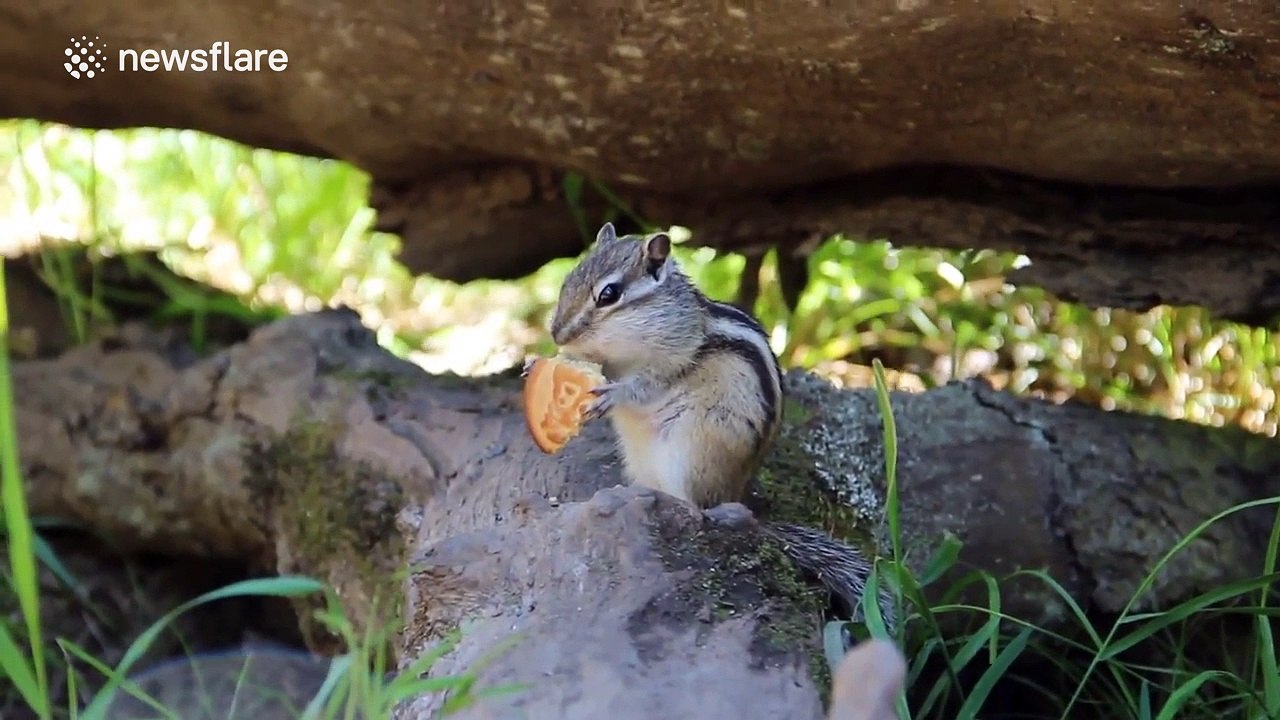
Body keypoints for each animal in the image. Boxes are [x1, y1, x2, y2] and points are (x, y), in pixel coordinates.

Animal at [549, 222, 894, 629]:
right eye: (568, 279)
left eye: (608, 294)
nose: (556, 334)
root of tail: (738, 496)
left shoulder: (675, 357)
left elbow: (645, 385)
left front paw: (611, 394)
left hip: (691, 451)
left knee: (698, 510)